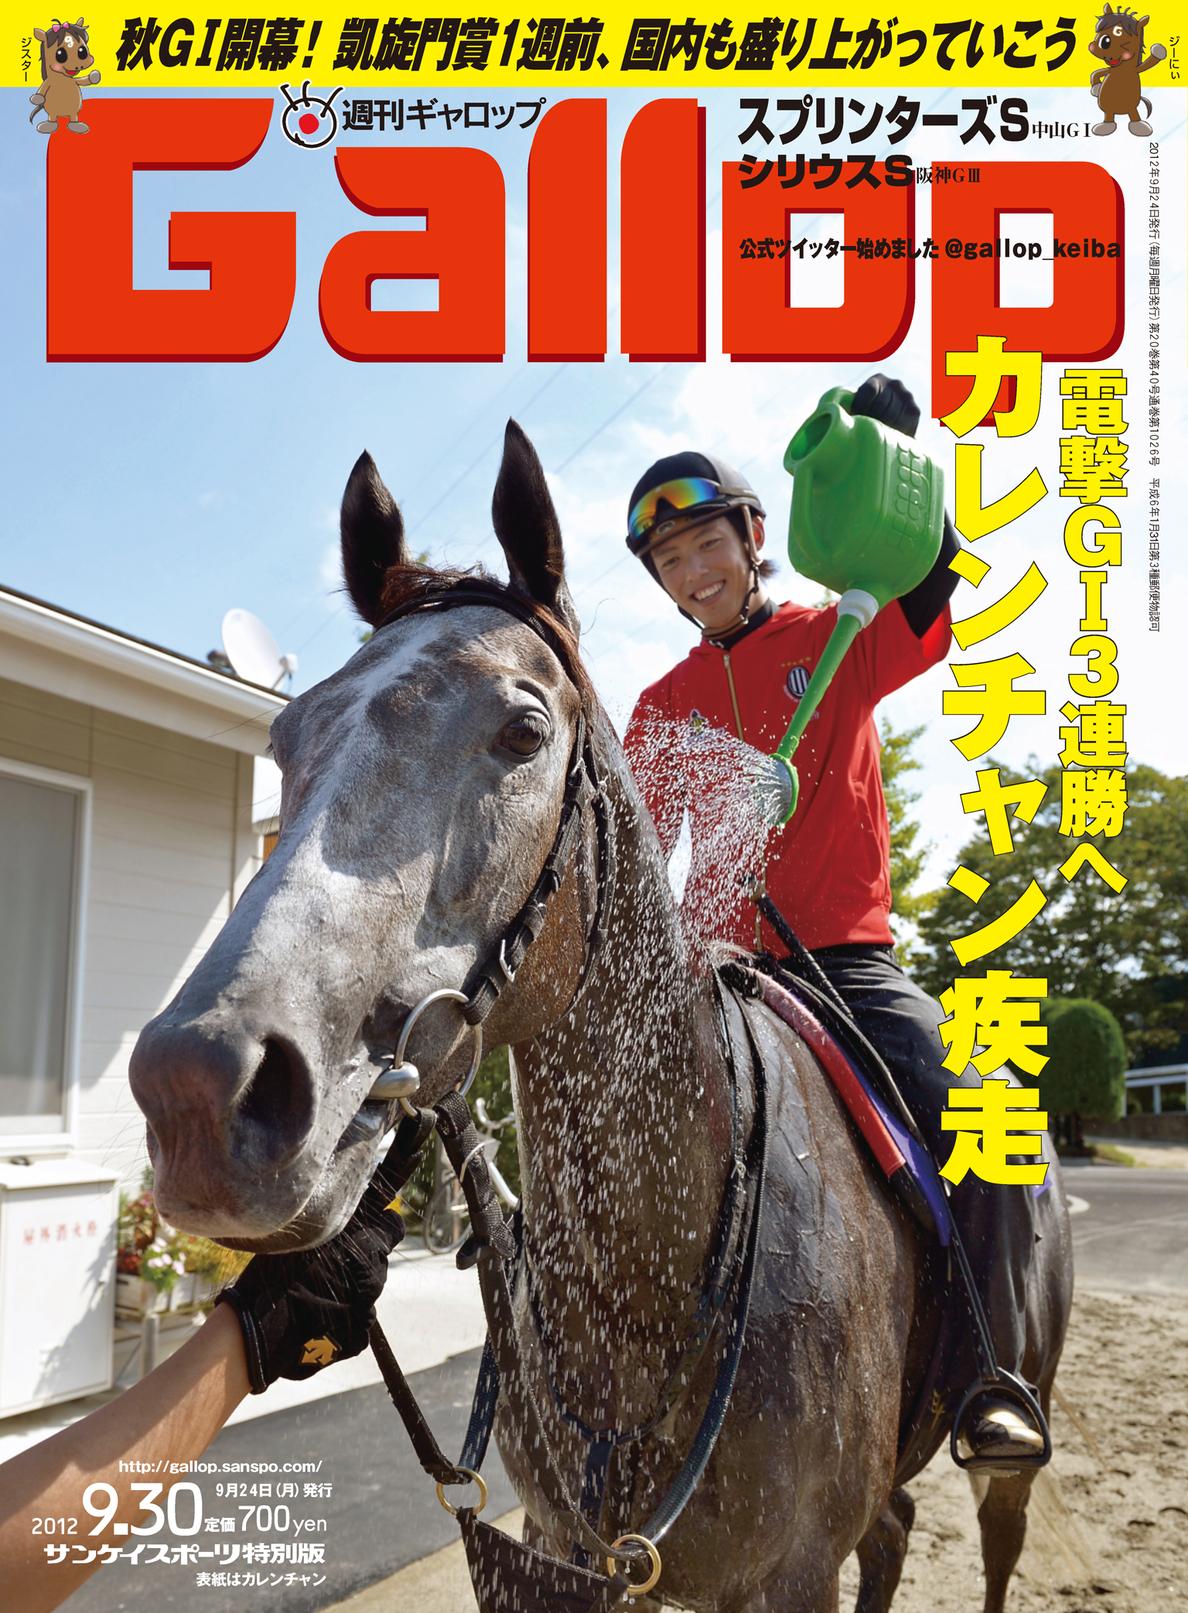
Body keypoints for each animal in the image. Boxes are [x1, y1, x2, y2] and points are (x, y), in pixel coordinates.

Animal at [128, 422, 1073, 1612]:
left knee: (997, 1534)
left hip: (1008, 1453)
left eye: (525, 729)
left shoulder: (790, 1572)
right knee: (897, 1527)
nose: (199, 1090)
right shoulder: (569, 1546)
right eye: (288, 735)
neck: (648, 1280)